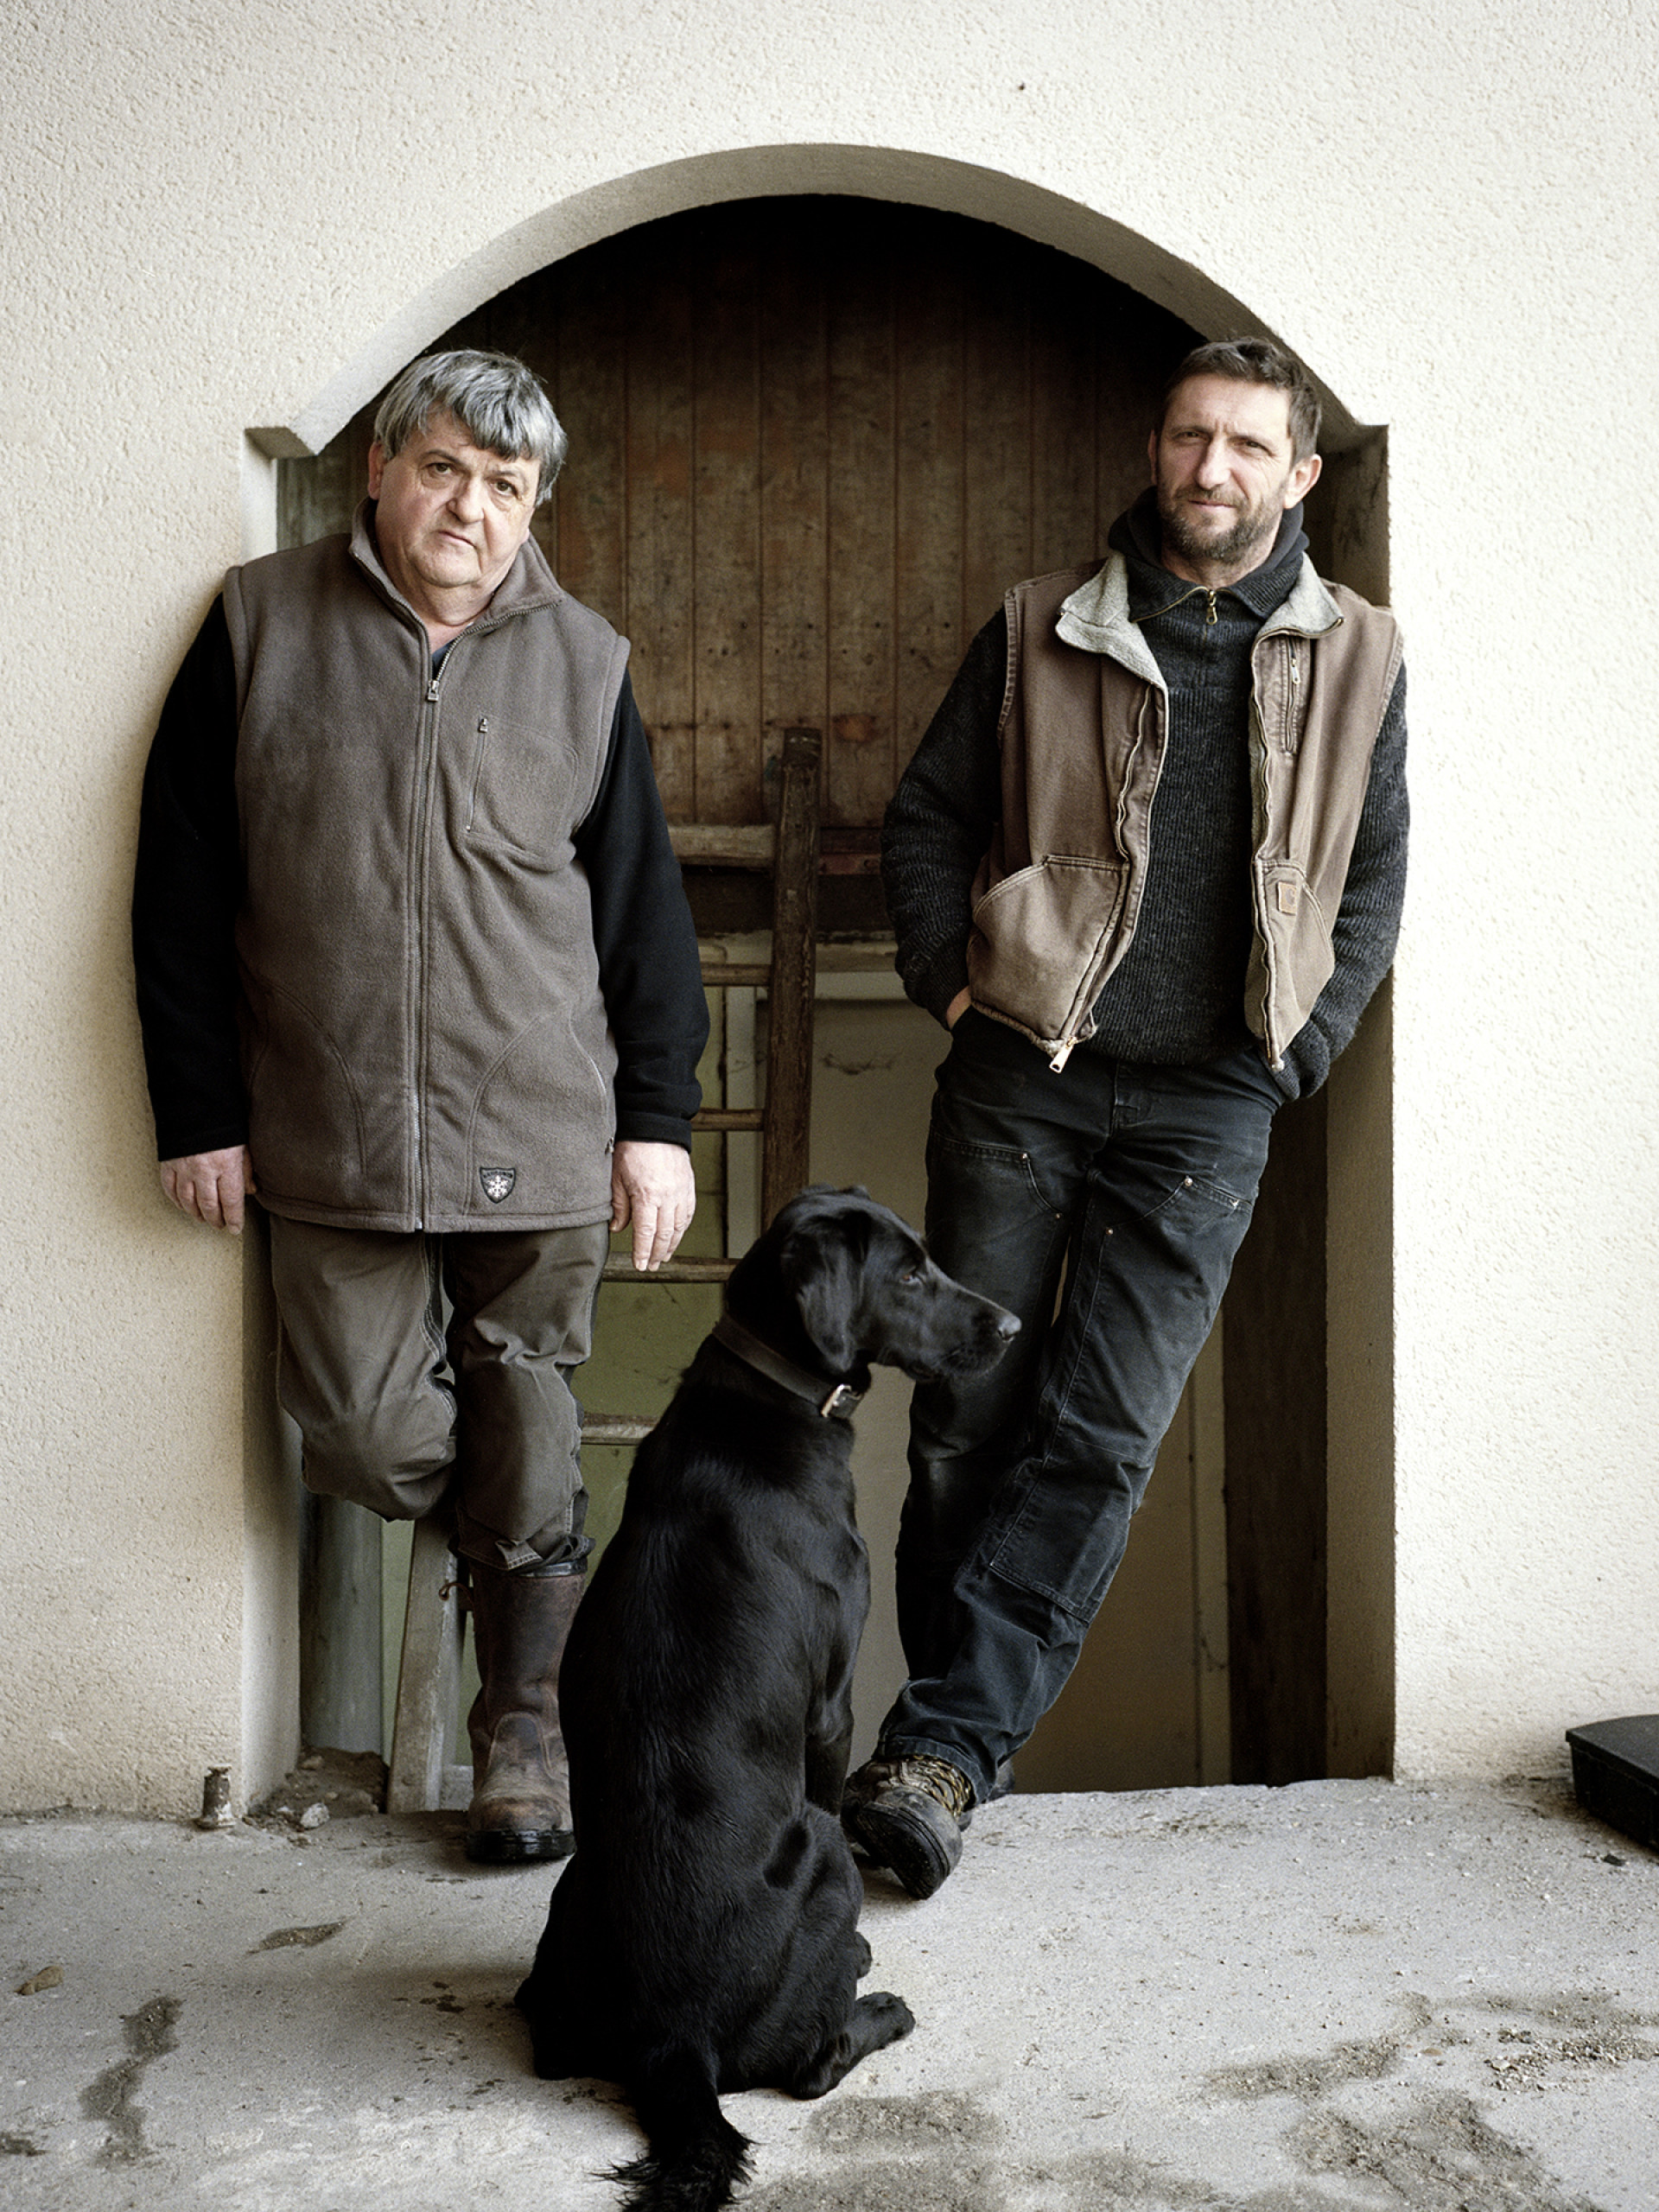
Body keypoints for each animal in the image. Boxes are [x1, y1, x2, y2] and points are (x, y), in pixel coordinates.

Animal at [518, 1194, 1013, 2212]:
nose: (1015, 1325)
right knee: (810, 2067)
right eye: (911, 1273)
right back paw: (875, 2004)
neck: (773, 1391)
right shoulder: (832, 1706)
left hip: (565, 1910)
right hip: (820, 1847)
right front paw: (864, 1957)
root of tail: (674, 2049)